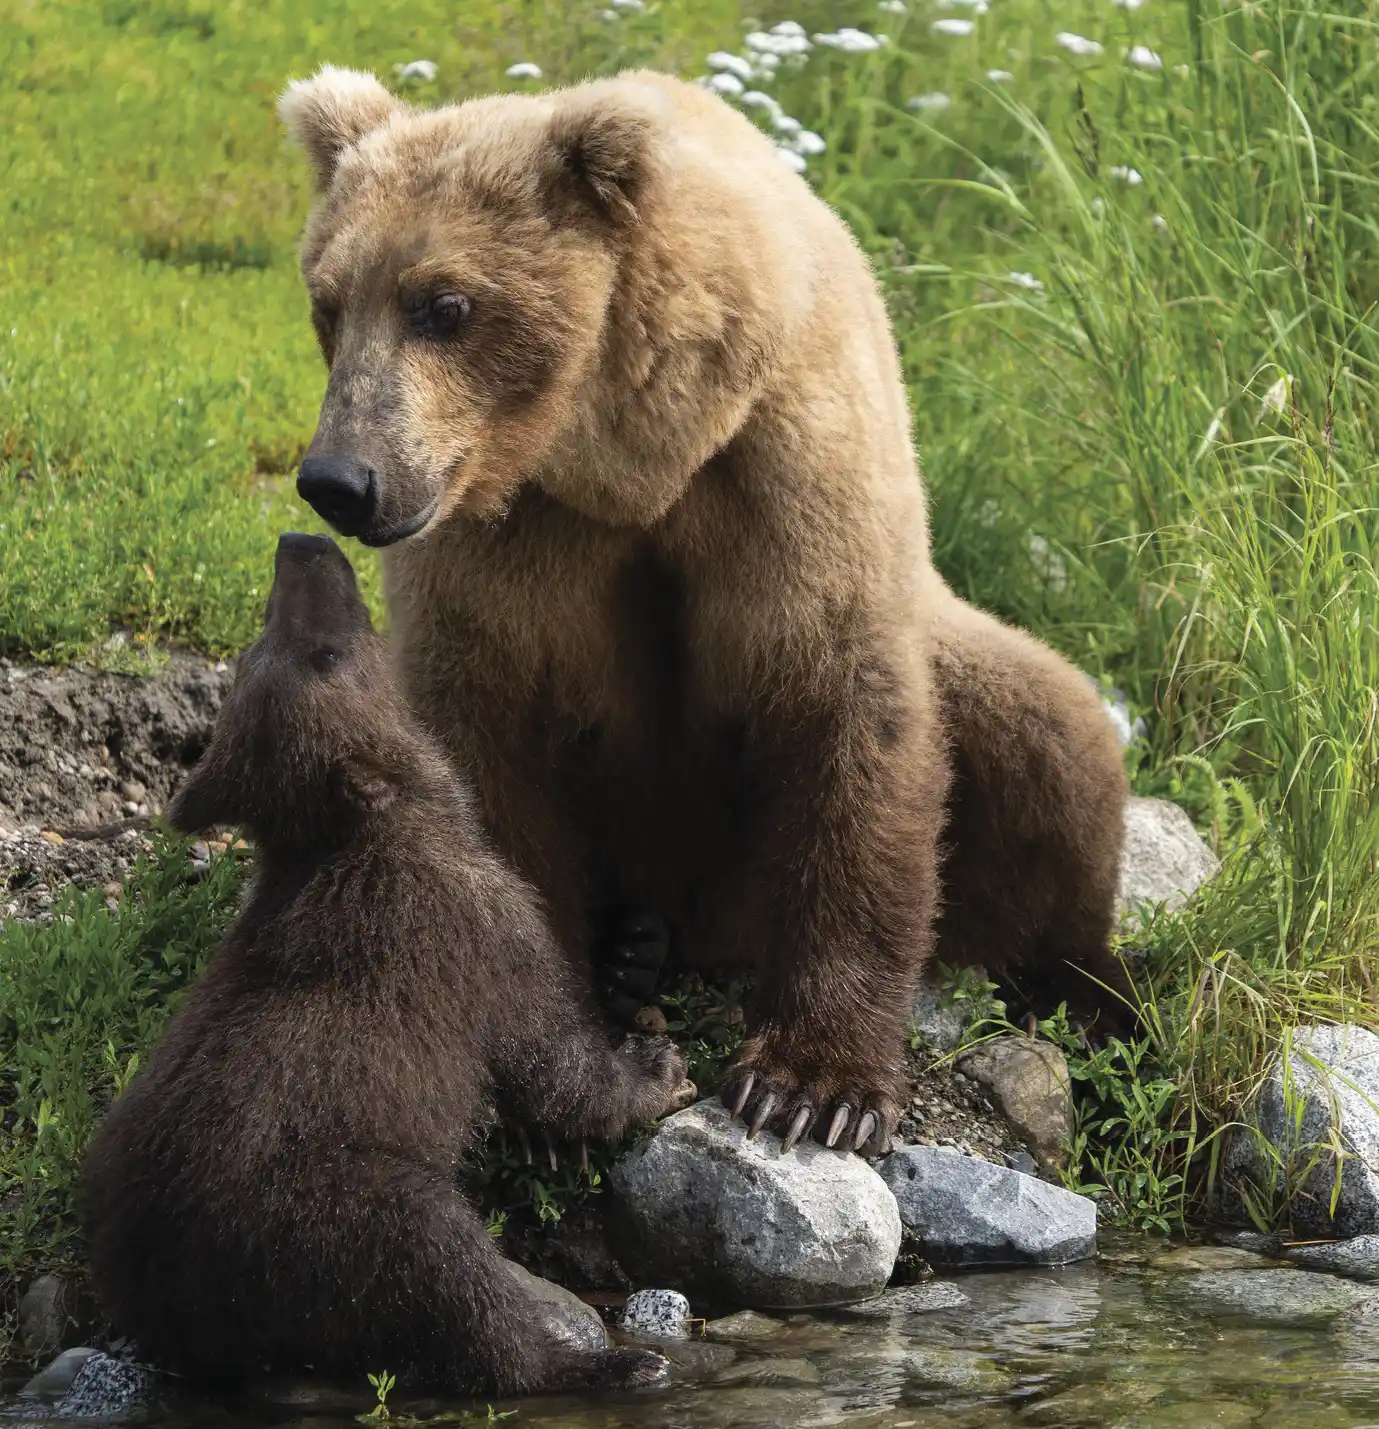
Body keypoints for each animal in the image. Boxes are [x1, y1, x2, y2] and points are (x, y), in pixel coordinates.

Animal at [79, 532, 689, 1396]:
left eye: (256, 648)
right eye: (326, 654)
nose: (299, 543)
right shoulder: (481, 929)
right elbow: (551, 1058)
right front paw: (657, 1068)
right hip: (344, 1210)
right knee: (453, 1280)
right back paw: (609, 1360)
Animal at [276, 67, 1131, 1157]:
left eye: (444, 304)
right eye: (328, 303)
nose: (340, 478)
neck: (633, 455)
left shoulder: (784, 470)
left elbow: (845, 715)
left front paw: (812, 1086)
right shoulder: (505, 542)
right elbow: (490, 756)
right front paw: (567, 1067)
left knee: (1049, 742)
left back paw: (1082, 990)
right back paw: (632, 950)